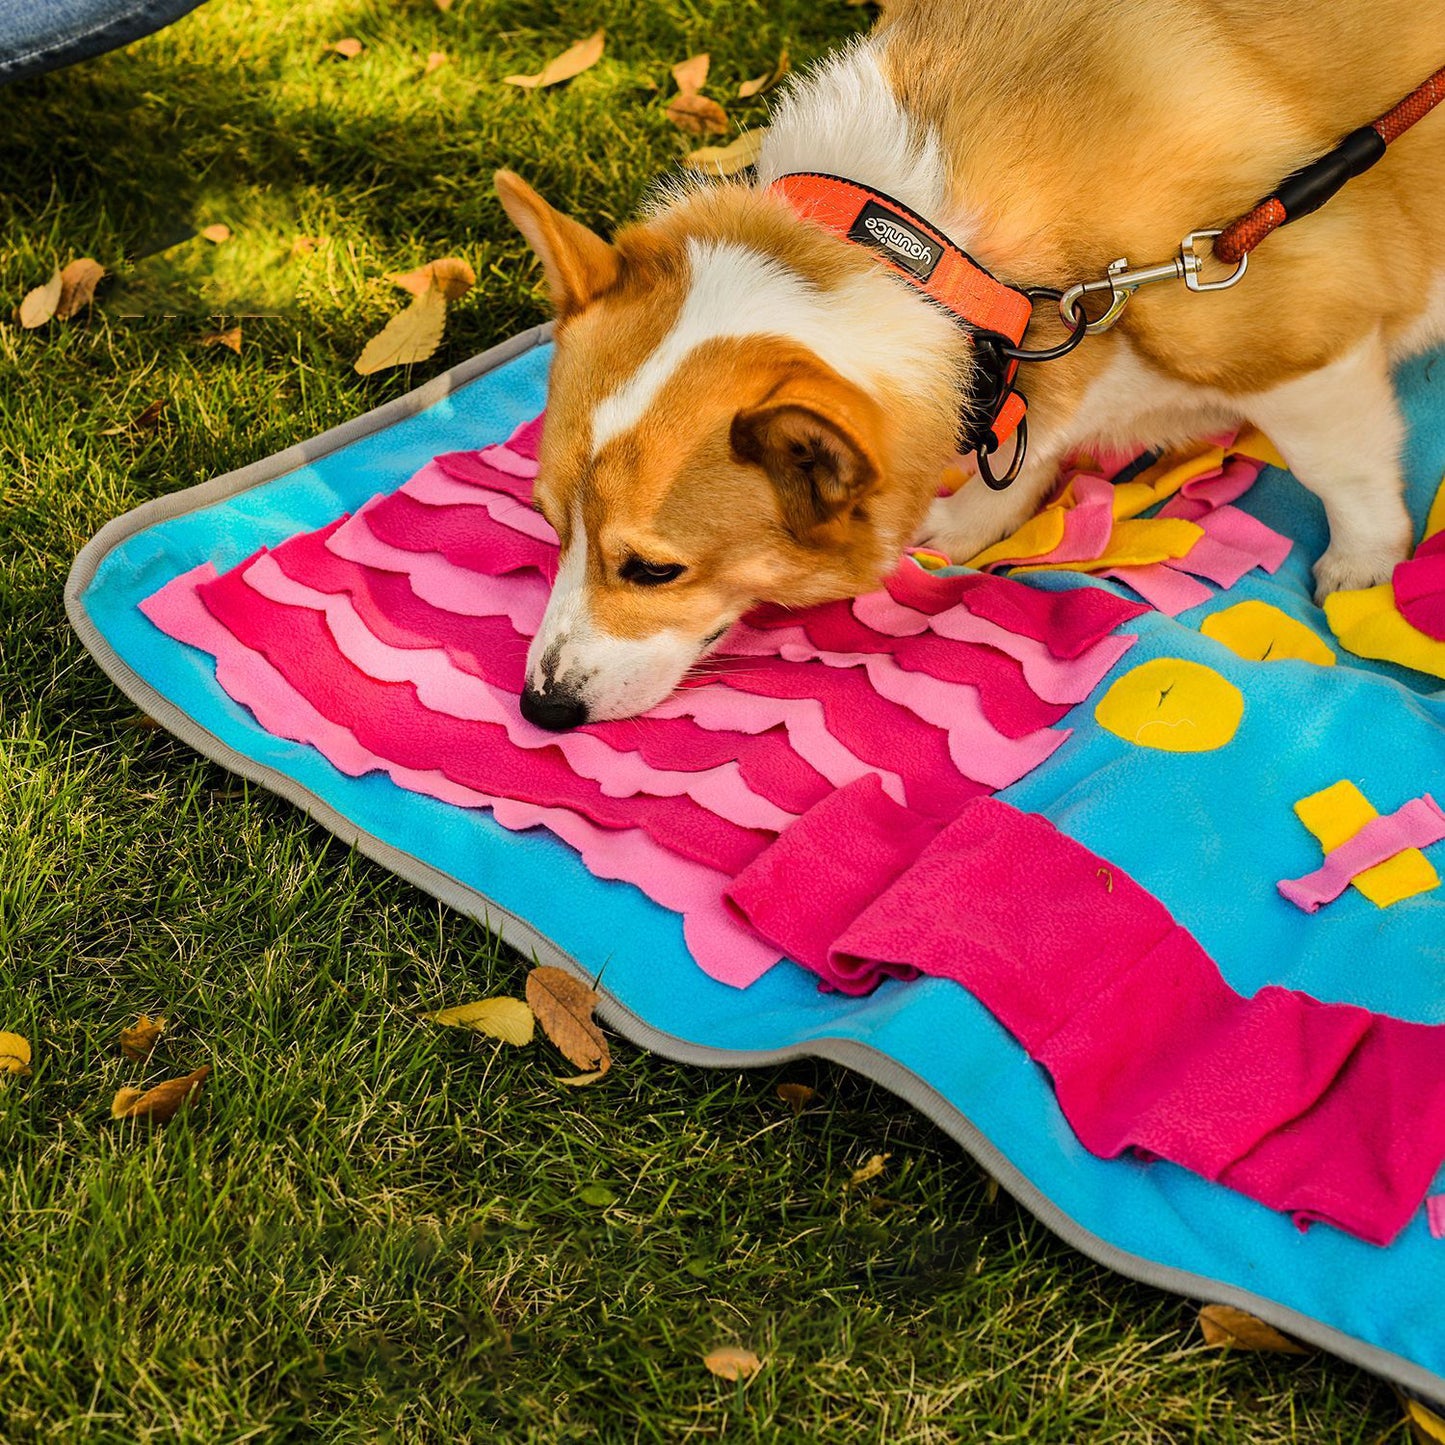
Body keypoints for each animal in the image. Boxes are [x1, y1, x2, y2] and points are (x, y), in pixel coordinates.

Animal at [494, 0, 1445, 728]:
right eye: (550, 525)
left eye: (654, 569)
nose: (540, 709)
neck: (947, 264)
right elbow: (1022, 453)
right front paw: (968, 524)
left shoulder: (1298, 338)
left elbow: (1340, 468)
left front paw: (1364, 563)